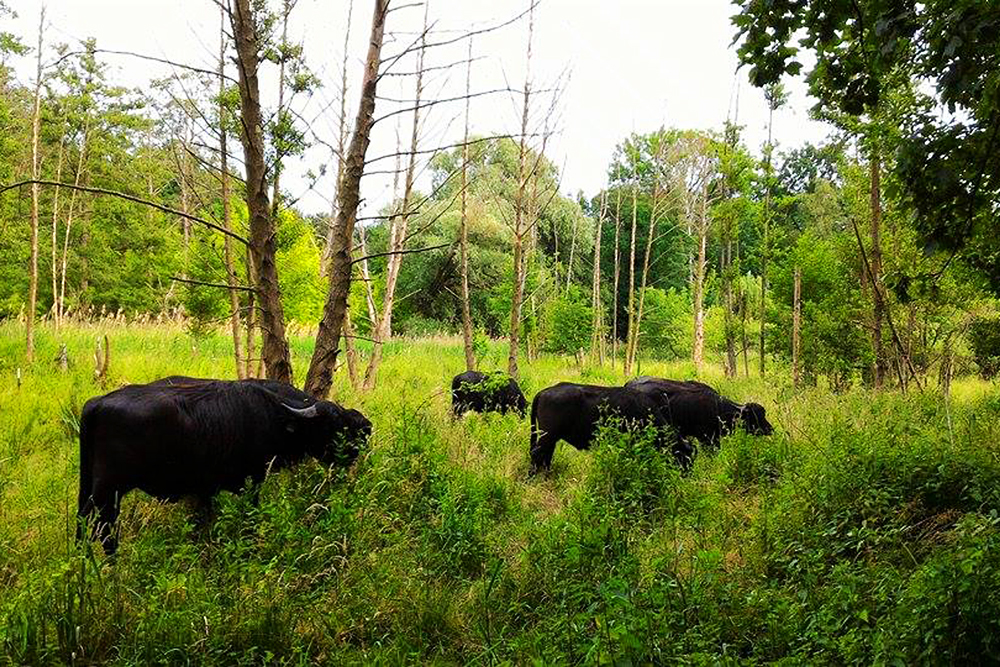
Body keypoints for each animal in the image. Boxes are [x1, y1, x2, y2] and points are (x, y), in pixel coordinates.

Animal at [78, 378, 374, 556]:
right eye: (334, 424)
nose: (367, 427)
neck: (274, 414)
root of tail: (98, 402)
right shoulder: (252, 481)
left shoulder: (205, 490)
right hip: (108, 489)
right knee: (101, 525)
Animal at [528, 380, 692, 474]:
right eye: (684, 458)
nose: (686, 475)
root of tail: (544, 392)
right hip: (548, 436)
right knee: (537, 454)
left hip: (550, 437)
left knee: (546, 455)